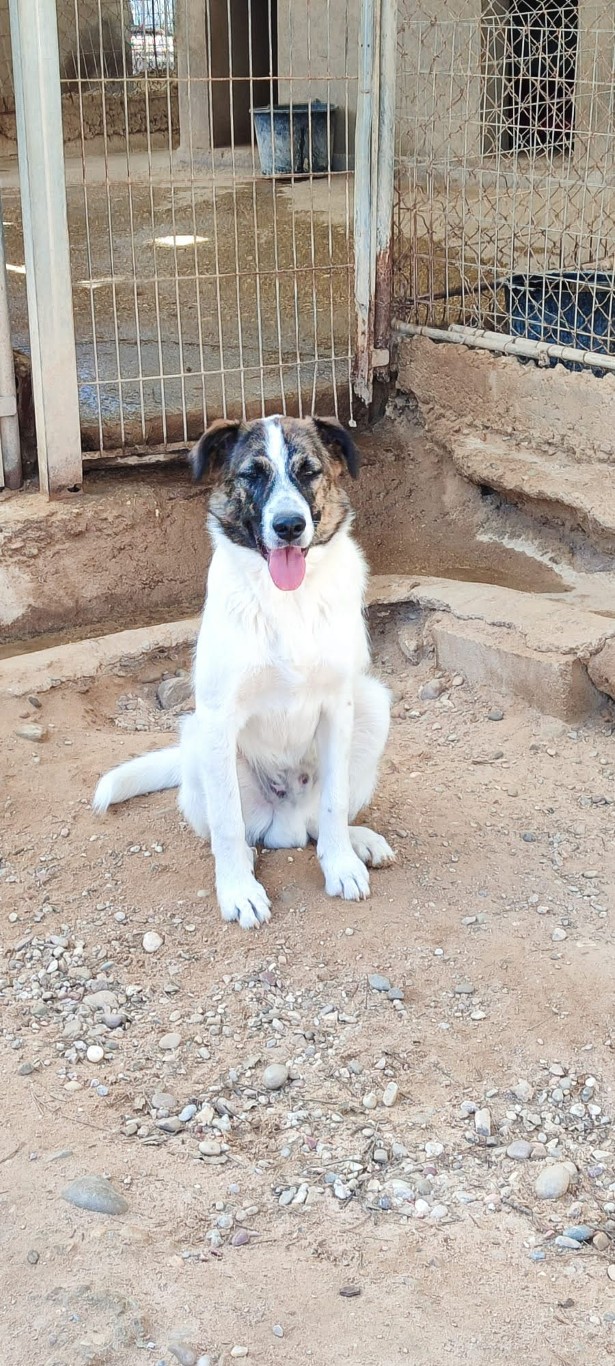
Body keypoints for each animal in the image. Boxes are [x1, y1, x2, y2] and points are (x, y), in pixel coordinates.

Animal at [93, 414, 394, 928]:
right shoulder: (218, 718)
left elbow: (333, 804)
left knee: (317, 822)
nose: (290, 526)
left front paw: (340, 865)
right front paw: (237, 890)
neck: (288, 600)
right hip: (198, 739)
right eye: (252, 474)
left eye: (309, 471)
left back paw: (358, 842)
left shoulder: (340, 705)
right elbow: (229, 823)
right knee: (237, 828)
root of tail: (287, 825)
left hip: (374, 705)